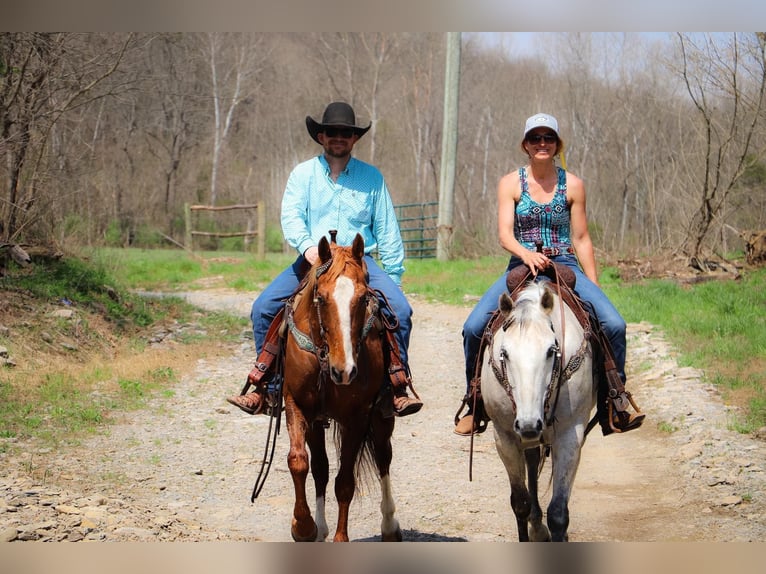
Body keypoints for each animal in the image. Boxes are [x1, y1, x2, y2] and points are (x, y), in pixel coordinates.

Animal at [280, 234, 402, 544]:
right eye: (320, 298)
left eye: (362, 298)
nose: (344, 370)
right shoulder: (298, 405)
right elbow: (300, 462)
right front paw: (304, 527)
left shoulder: (357, 416)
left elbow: (345, 482)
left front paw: (339, 537)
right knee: (321, 469)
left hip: (381, 417)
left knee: (383, 457)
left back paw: (389, 526)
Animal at [480, 282, 600, 544]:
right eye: (505, 353)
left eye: (550, 351)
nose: (528, 425)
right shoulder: (505, 437)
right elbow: (520, 503)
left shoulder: (570, 434)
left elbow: (558, 512)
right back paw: (536, 527)